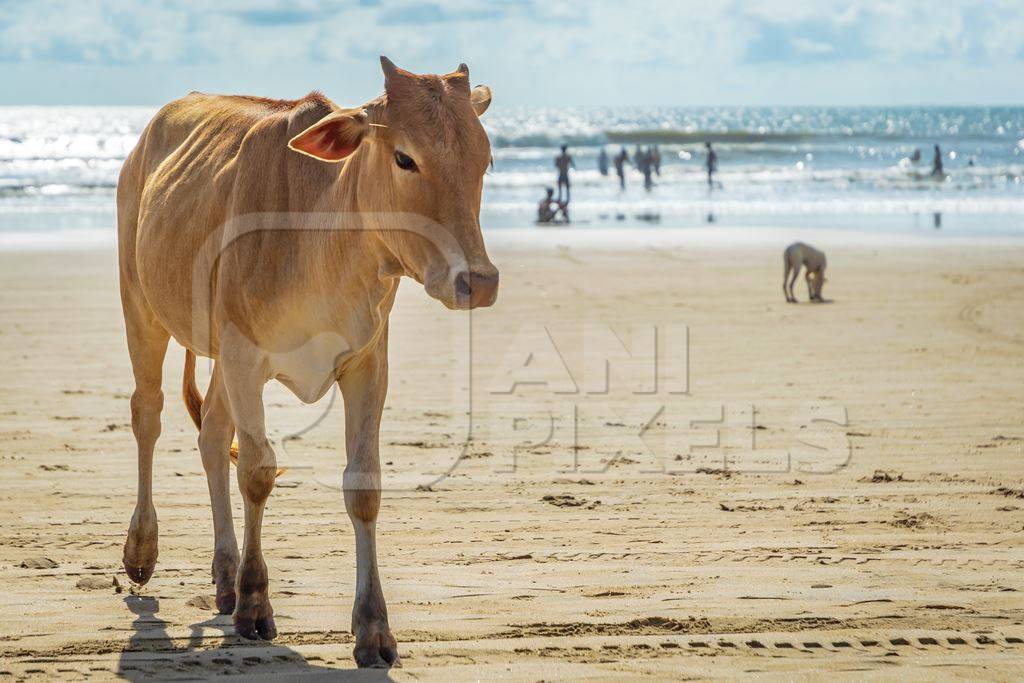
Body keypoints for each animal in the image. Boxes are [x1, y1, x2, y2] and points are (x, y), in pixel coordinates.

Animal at [117, 57, 499, 667]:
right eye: (404, 157)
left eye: (483, 159)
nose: (478, 281)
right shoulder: (245, 358)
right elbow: (257, 471)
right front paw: (255, 604)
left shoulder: (367, 364)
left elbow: (363, 486)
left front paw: (373, 629)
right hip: (141, 307)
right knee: (148, 416)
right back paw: (142, 551)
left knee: (211, 436)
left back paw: (224, 576)